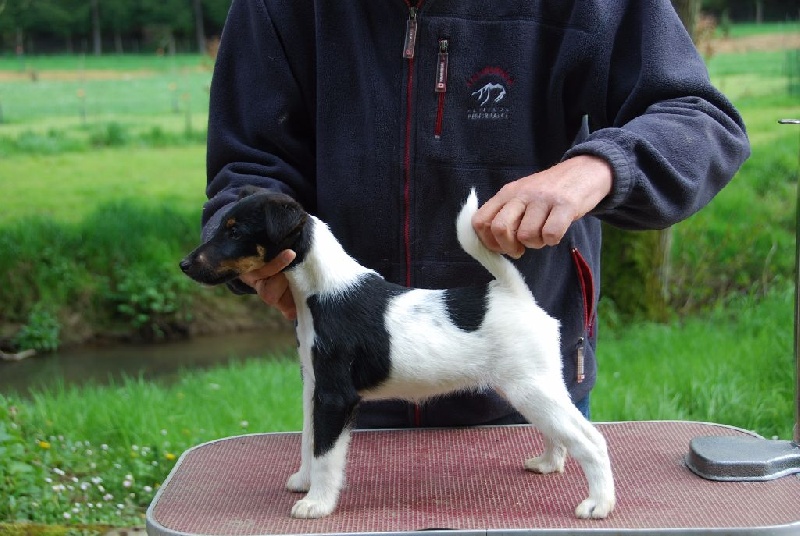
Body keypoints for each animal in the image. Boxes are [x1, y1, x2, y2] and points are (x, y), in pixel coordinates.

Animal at [181, 187, 616, 520]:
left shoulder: (335, 397)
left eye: (235, 231)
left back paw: (599, 504)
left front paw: (317, 503)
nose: (184, 264)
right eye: (222, 226)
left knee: (592, 441)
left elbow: (326, 452)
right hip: (535, 388)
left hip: (532, 389)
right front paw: (304, 482)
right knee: (560, 433)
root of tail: (515, 295)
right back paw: (548, 464)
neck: (322, 289)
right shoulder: (313, 388)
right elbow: (309, 440)